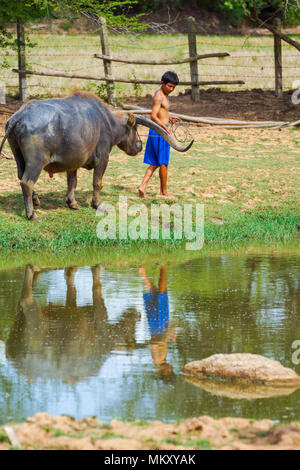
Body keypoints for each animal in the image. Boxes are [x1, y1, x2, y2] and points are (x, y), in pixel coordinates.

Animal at [0, 93, 192, 222]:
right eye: (135, 128)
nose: (139, 145)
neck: (107, 122)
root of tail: (20, 115)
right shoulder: (103, 159)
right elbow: (97, 182)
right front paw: (96, 204)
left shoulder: (72, 162)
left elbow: (72, 182)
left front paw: (72, 202)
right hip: (36, 162)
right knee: (27, 182)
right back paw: (31, 214)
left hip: (19, 157)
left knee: (21, 176)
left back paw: (36, 200)